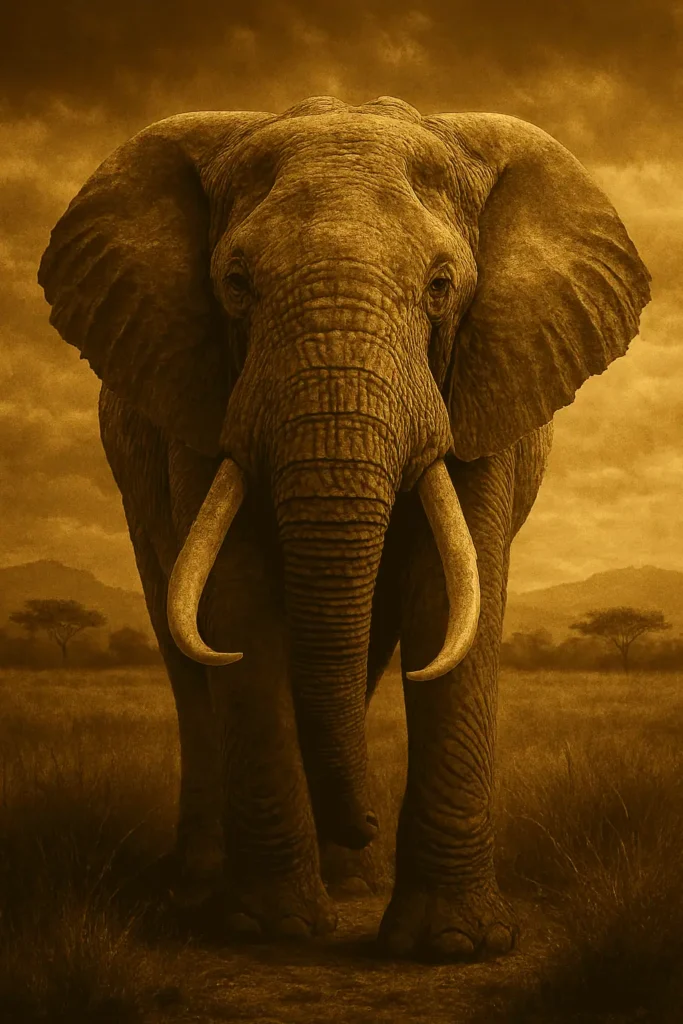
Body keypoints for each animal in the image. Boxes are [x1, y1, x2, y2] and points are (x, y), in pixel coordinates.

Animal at [38, 95, 650, 960]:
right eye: (235, 285)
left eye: (440, 287)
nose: (364, 824)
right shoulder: (198, 386)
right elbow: (237, 602)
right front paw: (272, 930)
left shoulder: (486, 377)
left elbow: (446, 602)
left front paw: (451, 946)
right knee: (187, 650)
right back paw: (202, 887)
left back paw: (347, 880)